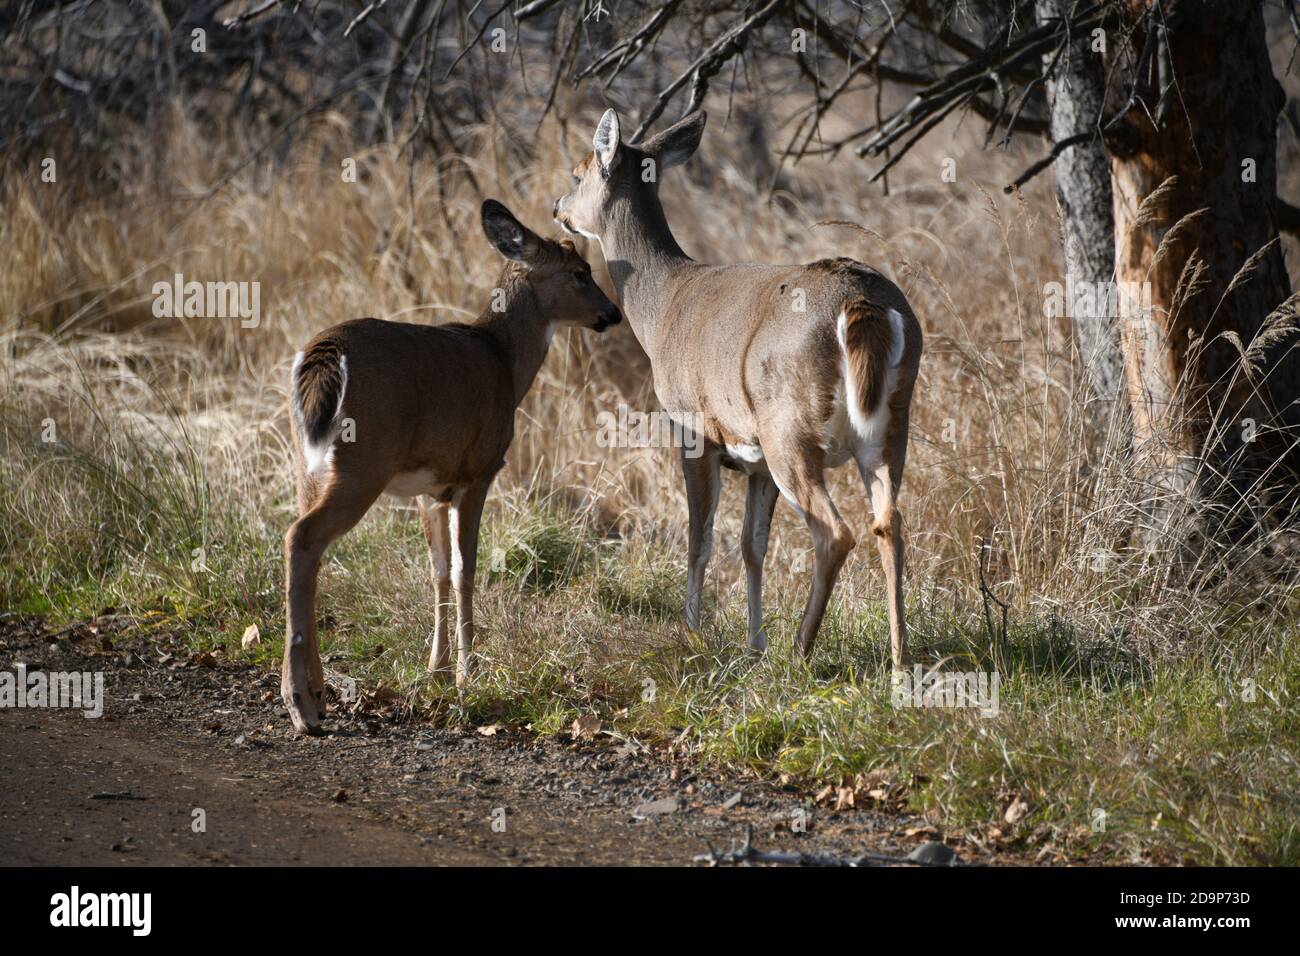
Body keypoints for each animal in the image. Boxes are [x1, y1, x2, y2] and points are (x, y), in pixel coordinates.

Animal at [280, 199, 622, 734]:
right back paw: (301, 705)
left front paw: (435, 669)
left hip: (309, 462)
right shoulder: (477, 471)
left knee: (309, 550)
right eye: (579, 273)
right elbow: (466, 569)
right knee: (301, 538)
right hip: (363, 461)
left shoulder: (431, 486)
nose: (613, 313)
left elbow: (437, 570)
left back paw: (317, 691)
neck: (505, 362)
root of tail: (322, 358)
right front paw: (467, 674)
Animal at [553, 109, 922, 669]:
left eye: (578, 174)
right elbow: (753, 546)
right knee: (890, 522)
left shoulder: (693, 428)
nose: (557, 209)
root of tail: (862, 302)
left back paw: (800, 651)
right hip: (889, 425)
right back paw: (899, 658)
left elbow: (700, 538)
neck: (663, 305)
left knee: (834, 532)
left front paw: (692, 634)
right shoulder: (755, 462)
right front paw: (754, 643)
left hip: (788, 427)